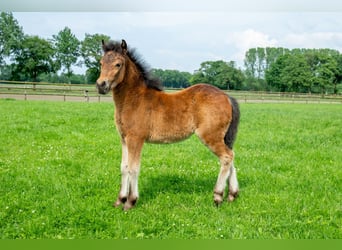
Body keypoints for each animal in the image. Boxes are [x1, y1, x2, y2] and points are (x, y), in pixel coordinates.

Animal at [96, 39, 240, 211]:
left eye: (118, 64)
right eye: (101, 62)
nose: (101, 85)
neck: (134, 99)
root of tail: (227, 97)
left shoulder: (135, 139)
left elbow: (133, 168)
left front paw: (130, 201)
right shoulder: (124, 139)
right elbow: (123, 167)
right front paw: (120, 200)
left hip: (210, 136)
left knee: (226, 157)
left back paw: (218, 197)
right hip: (223, 137)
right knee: (231, 157)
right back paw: (232, 194)